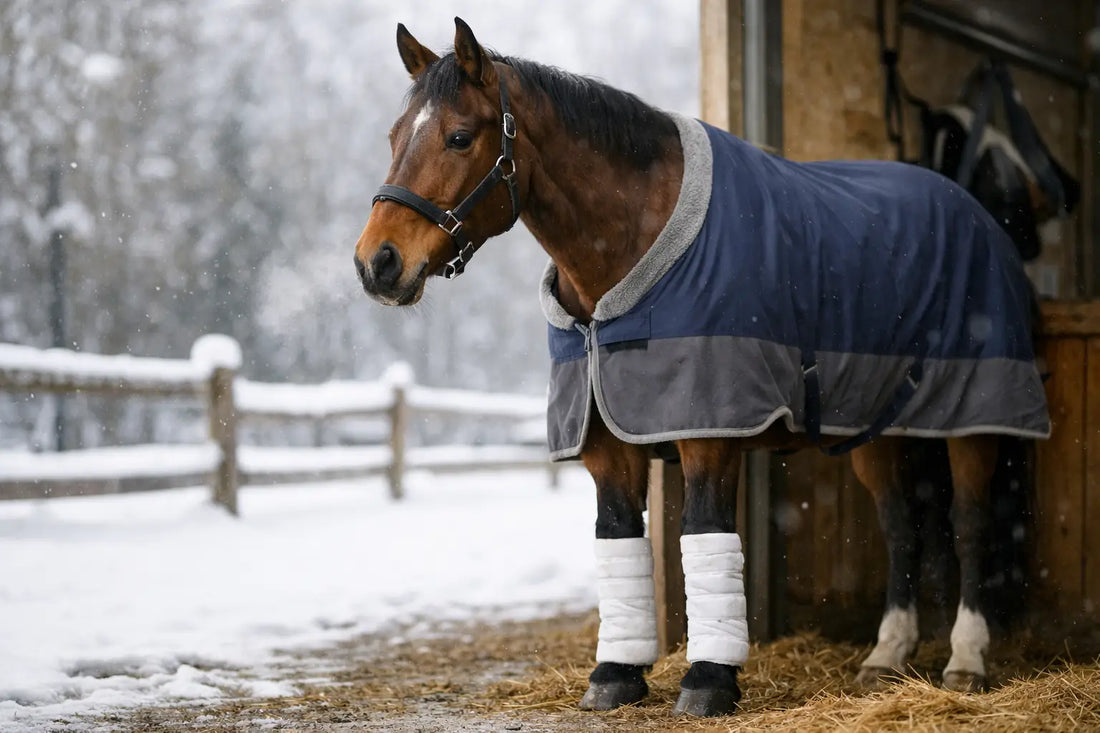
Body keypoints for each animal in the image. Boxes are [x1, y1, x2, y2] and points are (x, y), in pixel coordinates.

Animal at [353, 18, 1050, 717]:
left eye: (459, 136)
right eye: (392, 136)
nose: (377, 263)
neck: (630, 244)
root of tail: (978, 216)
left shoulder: (709, 431)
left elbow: (707, 534)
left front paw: (709, 680)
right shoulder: (606, 440)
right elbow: (618, 535)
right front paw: (616, 675)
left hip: (974, 418)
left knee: (968, 523)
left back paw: (966, 660)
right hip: (881, 430)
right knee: (901, 524)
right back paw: (887, 655)